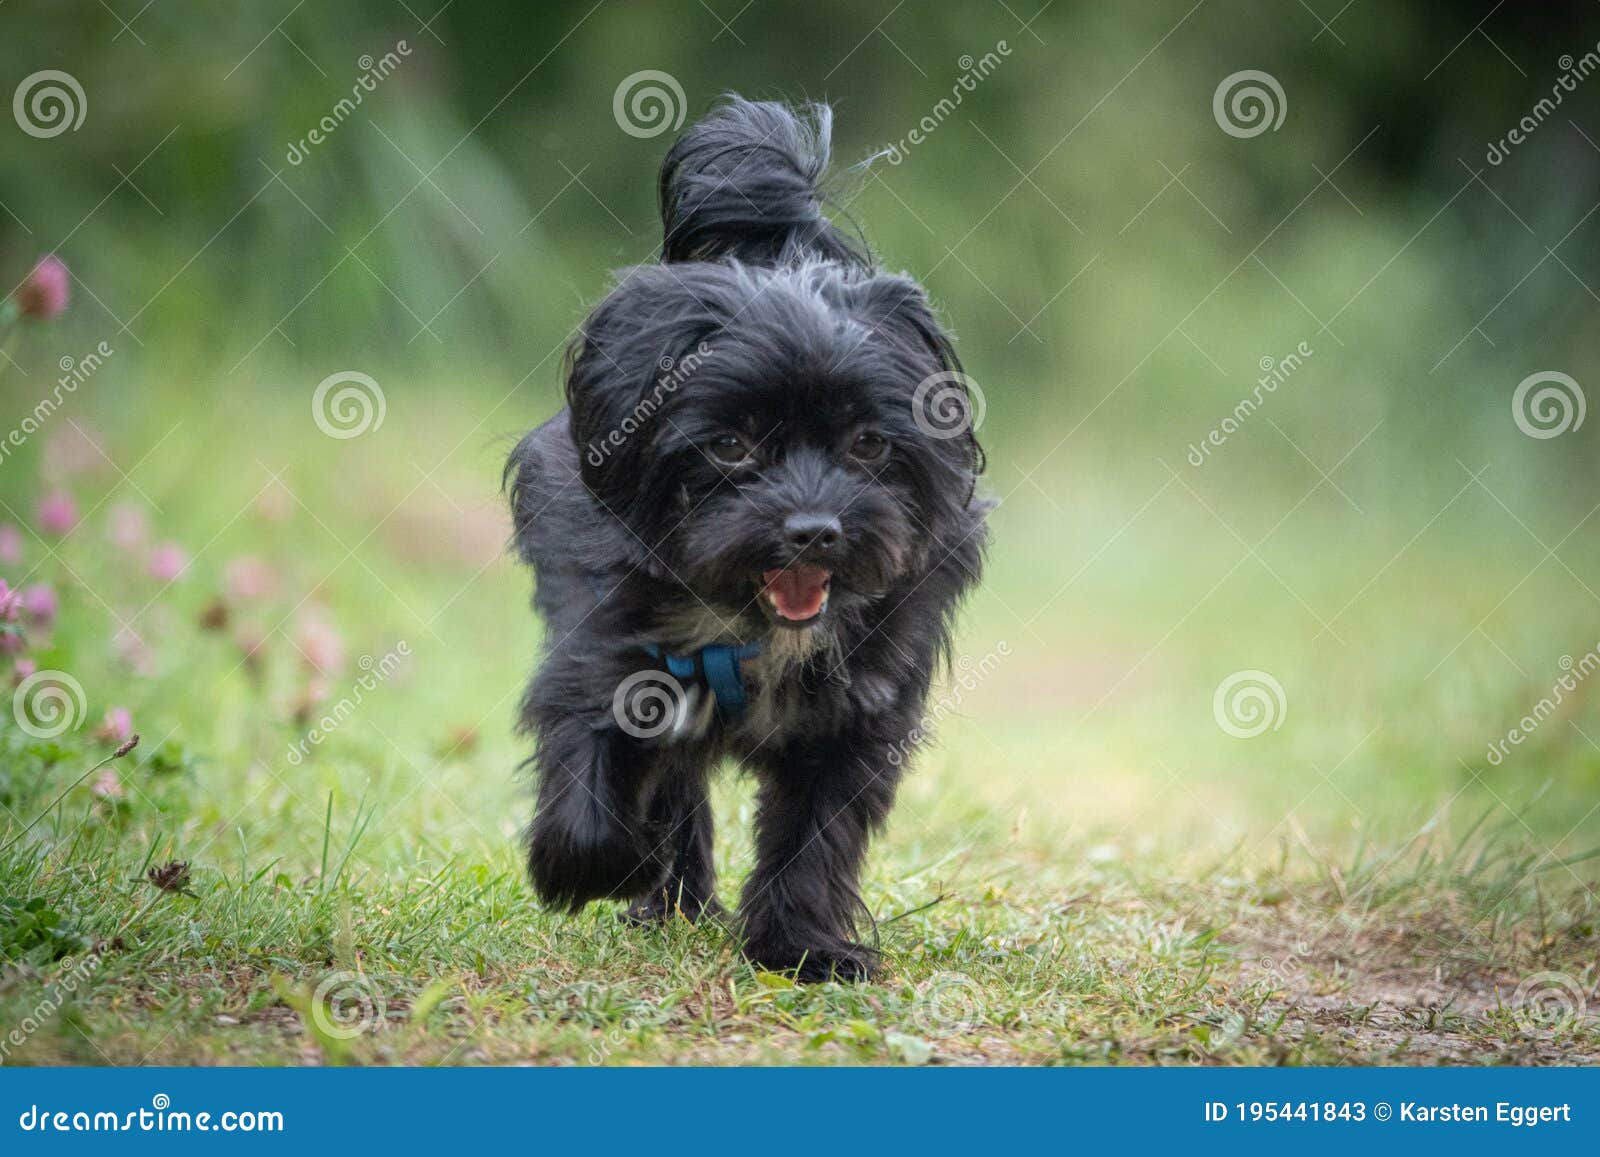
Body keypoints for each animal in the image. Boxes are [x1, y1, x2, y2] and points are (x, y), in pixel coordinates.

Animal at [508, 97, 985, 979]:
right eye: (730, 444)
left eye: (868, 442)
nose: (814, 530)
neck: (748, 623)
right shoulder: (603, 647)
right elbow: (591, 744)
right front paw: (594, 863)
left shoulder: (858, 718)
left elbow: (814, 837)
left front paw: (800, 947)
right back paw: (667, 896)